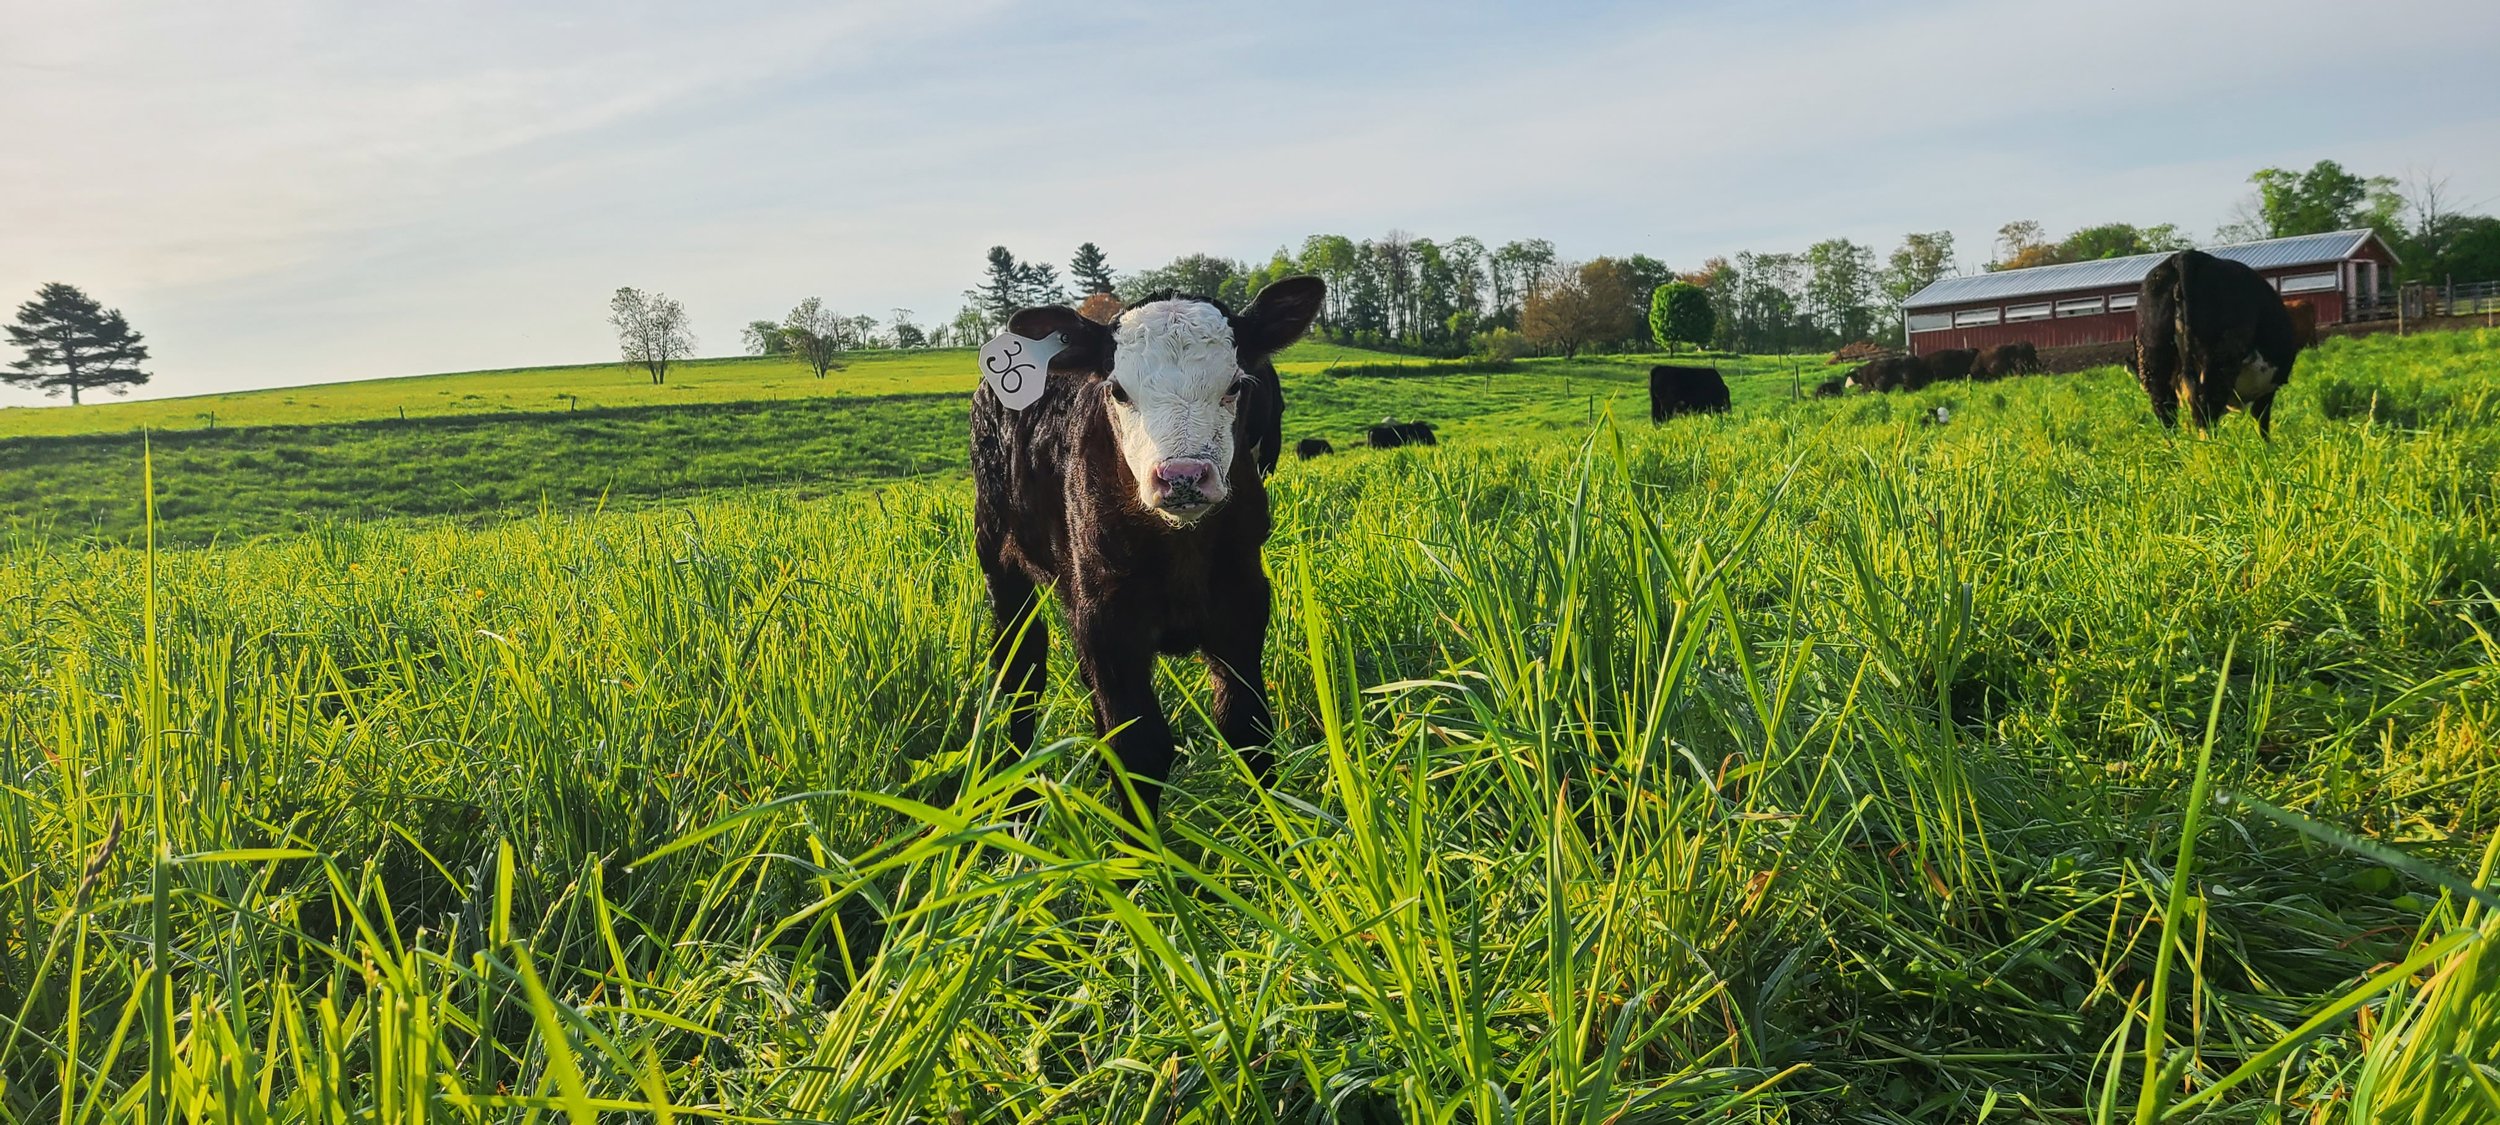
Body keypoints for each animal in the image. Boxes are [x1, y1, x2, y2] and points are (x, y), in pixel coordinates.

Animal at [969, 276, 1325, 820]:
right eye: (1118, 391)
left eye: (1235, 386)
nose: (1182, 476)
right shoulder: (1105, 622)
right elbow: (1138, 749)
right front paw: (1142, 845)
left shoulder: (1243, 602)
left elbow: (1247, 727)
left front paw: (1272, 835)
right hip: (998, 558)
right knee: (1020, 670)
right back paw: (1018, 801)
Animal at [2134, 250, 2300, 438]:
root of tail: (2187, 254)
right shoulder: (2266, 390)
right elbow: (2261, 423)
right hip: (2220, 361)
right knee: (2206, 409)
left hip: (2155, 360)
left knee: (2166, 411)